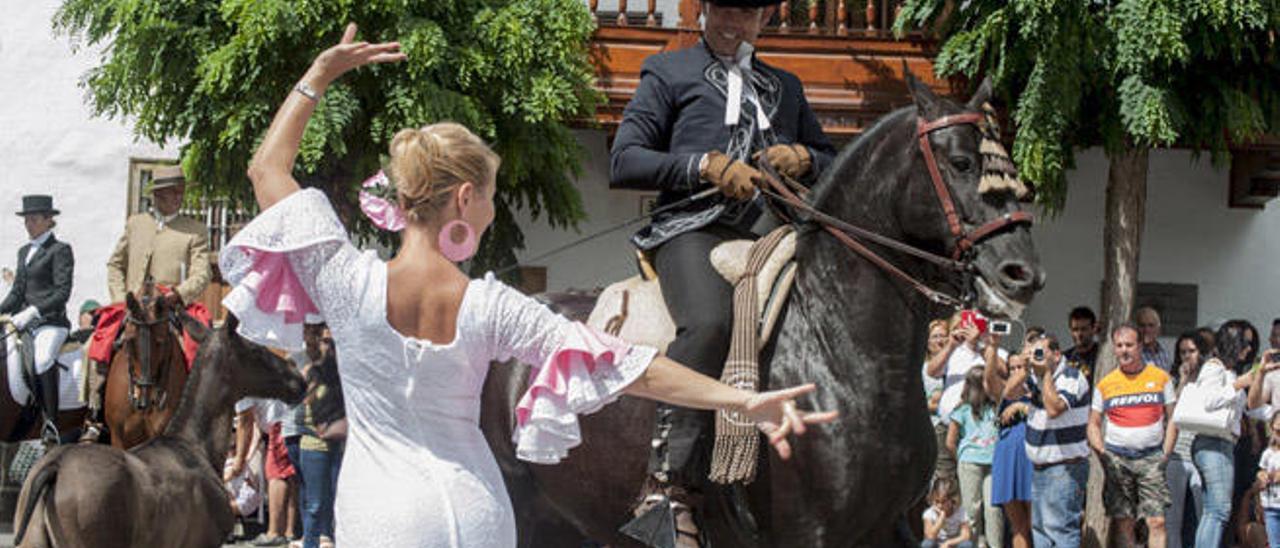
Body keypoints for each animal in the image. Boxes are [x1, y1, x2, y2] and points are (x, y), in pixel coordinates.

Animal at [483, 73, 1044, 548]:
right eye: (961, 162)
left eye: (1014, 173)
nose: (1023, 273)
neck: (841, 351)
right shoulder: (809, 534)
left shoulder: (893, 527)